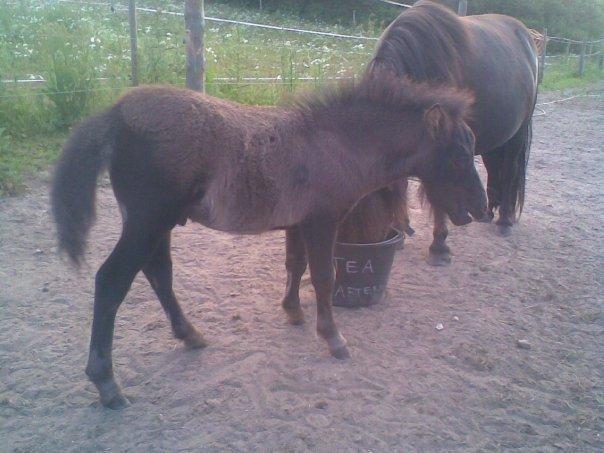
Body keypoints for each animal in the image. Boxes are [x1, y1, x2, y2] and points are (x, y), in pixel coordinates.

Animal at [52, 76, 486, 408]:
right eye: (458, 157)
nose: (481, 209)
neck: (336, 144)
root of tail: (116, 112)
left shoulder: (298, 223)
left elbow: (295, 265)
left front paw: (293, 312)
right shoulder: (322, 222)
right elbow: (324, 277)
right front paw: (334, 339)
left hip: (155, 225)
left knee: (158, 272)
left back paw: (190, 335)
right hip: (148, 222)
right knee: (112, 281)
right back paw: (107, 384)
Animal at [340, 0, 536, 264]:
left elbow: (438, 197)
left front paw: (439, 246)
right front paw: (401, 231)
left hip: (517, 136)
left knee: (510, 171)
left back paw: (504, 220)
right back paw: (489, 213)